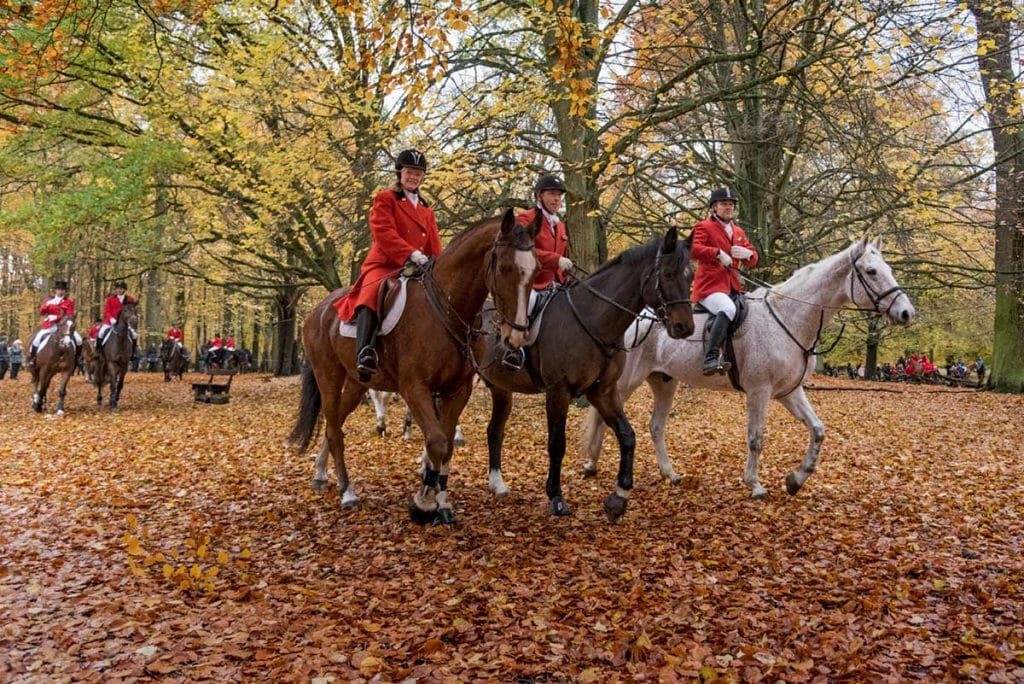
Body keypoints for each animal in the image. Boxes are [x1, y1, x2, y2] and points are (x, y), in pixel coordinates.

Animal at [288, 210, 540, 528]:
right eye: (505, 268)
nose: (516, 337)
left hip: (358, 383)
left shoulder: (457, 390)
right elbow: (436, 442)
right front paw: (423, 503)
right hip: (329, 377)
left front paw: (441, 502)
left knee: (336, 424)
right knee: (334, 430)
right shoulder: (415, 388)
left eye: (536, 270)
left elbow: (446, 445)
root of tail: (319, 309)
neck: (446, 309)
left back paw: (321, 474)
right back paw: (347, 492)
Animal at [481, 227, 696, 520]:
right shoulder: (558, 392)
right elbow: (557, 443)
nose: (685, 327)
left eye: (691, 275)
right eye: (668, 274)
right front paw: (556, 497)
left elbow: (627, 436)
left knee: (494, 431)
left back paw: (497, 485)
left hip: (501, 389)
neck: (592, 321)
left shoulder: (602, 391)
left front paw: (619, 496)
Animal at [581, 237, 917, 499]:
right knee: (604, 418)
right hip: (627, 381)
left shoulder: (789, 391)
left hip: (664, 381)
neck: (788, 315)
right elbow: (756, 438)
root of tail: (636, 317)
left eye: (889, 269)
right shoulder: (760, 391)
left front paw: (796, 479)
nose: (906, 313)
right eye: (871, 271)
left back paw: (669, 474)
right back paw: (591, 464)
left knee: (656, 426)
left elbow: (818, 430)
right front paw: (754, 484)